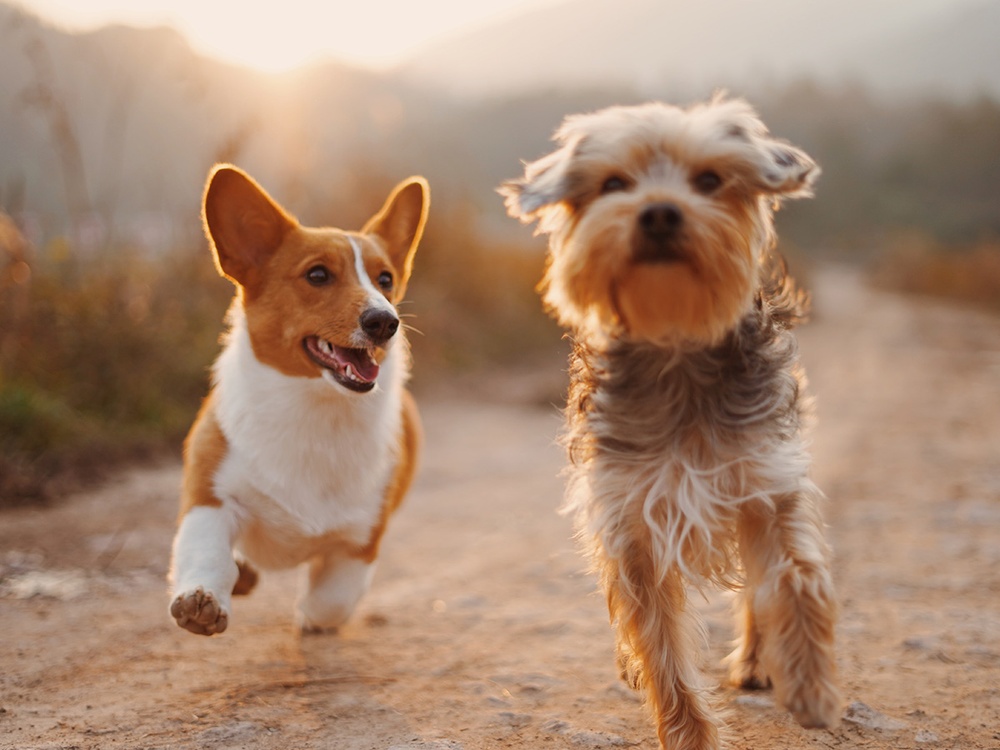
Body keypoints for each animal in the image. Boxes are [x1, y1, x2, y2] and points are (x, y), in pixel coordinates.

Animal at [167, 167, 430, 636]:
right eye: (318, 275)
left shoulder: (360, 541)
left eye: (385, 280)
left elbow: (331, 601)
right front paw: (201, 599)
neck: (315, 408)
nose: (385, 321)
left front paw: (309, 616)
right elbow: (206, 552)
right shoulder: (210, 497)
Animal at [504, 97, 840, 748]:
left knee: (757, 590)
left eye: (709, 180)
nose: (659, 212)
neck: (676, 344)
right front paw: (689, 733)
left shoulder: (766, 481)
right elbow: (659, 642)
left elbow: (797, 576)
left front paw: (811, 682)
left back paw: (759, 661)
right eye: (614, 184)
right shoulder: (630, 519)